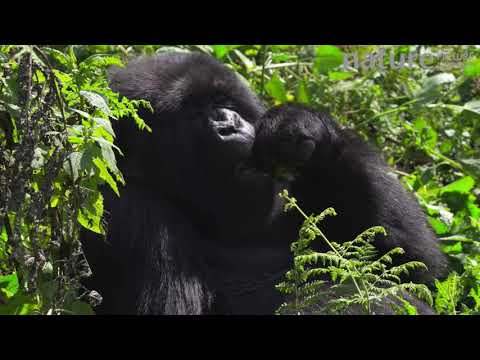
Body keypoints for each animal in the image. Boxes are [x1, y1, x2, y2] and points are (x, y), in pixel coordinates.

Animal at [79, 51, 450, 316]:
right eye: (192, 113)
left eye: (224, 103)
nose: (229, 124)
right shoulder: (129, 211)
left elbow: (411, 269)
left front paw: (300, 123)